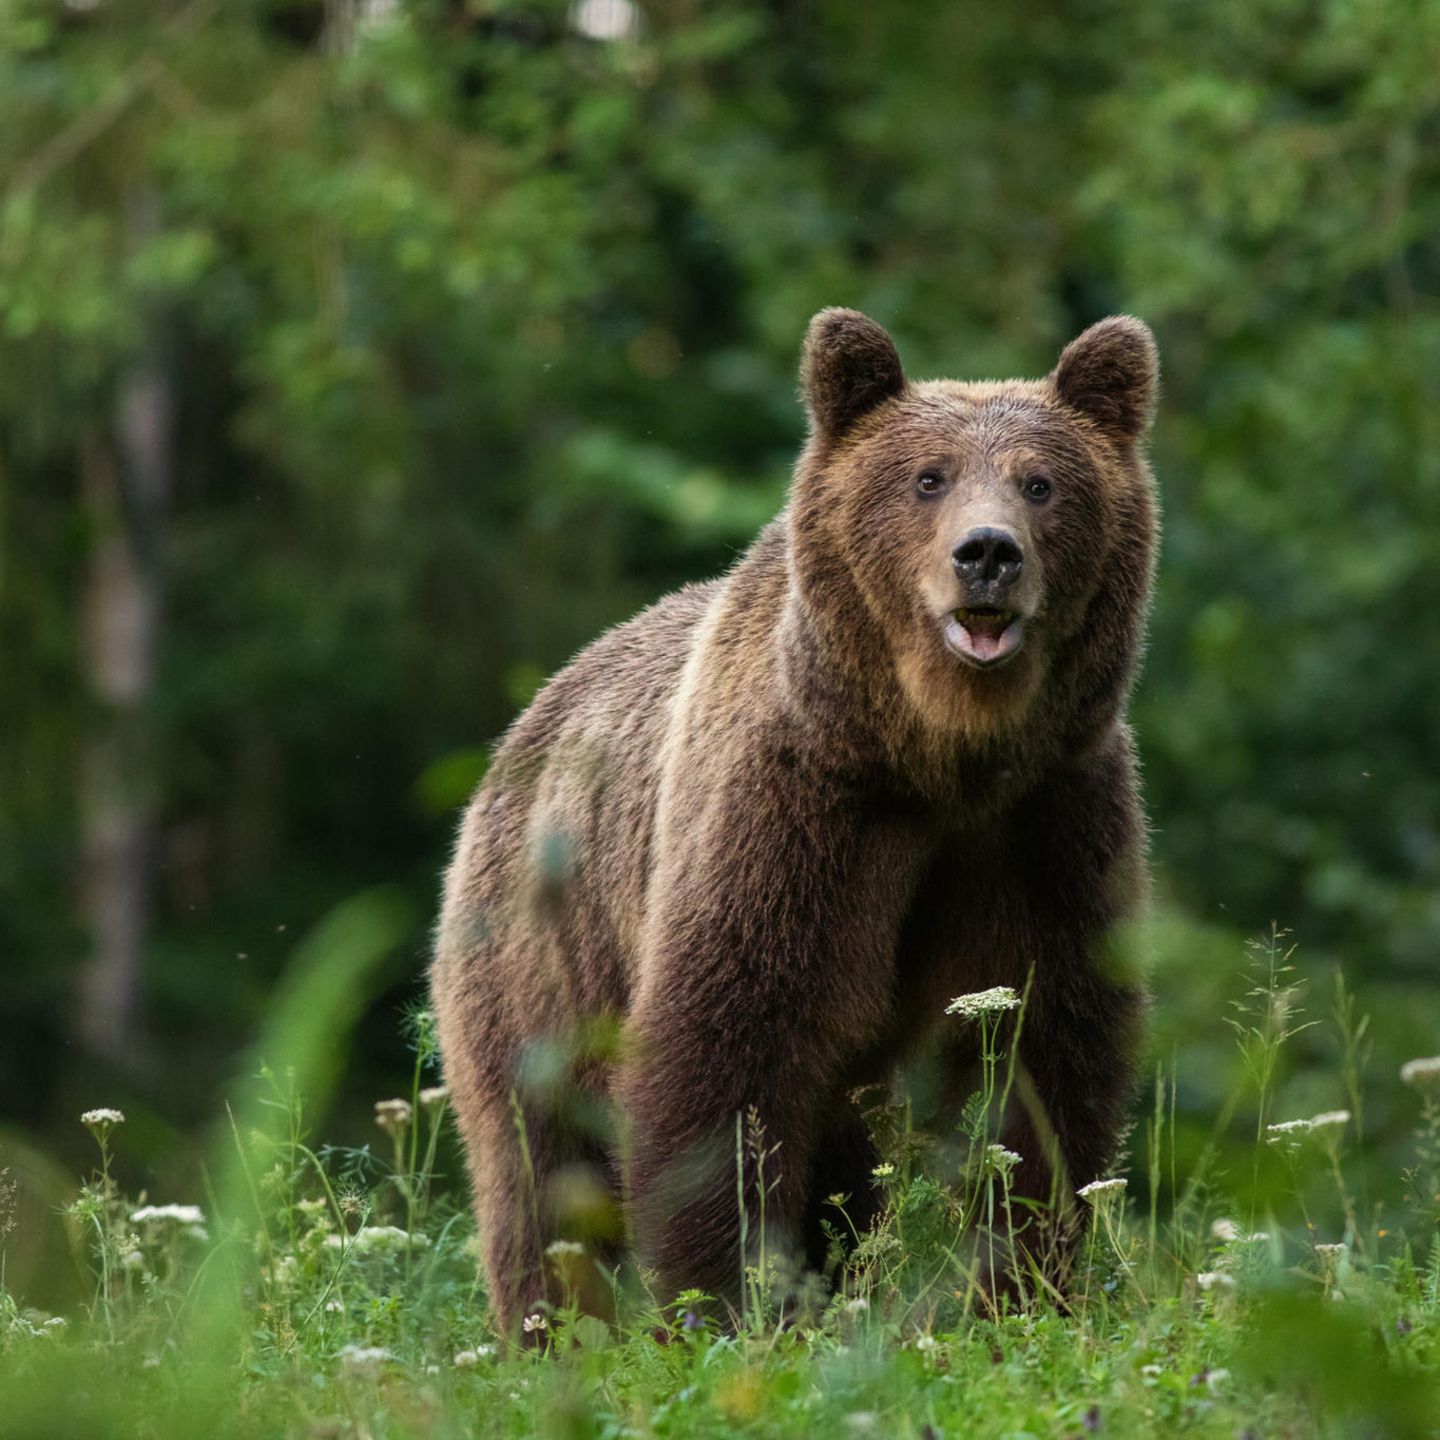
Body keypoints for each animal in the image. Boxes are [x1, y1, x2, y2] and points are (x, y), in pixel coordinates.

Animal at [432, 309, 1163, 1330]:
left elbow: (1046, 1057)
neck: (936, 758)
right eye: (928, 476)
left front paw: (1019, 1288)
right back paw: (554, 1327)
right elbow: (730, 1051)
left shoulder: (1046, 822)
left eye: (1041, 482)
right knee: (541, 1171)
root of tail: (521, 731)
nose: (987, 553)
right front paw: (730, 1300)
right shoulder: (797, 813)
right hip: (539, 958)